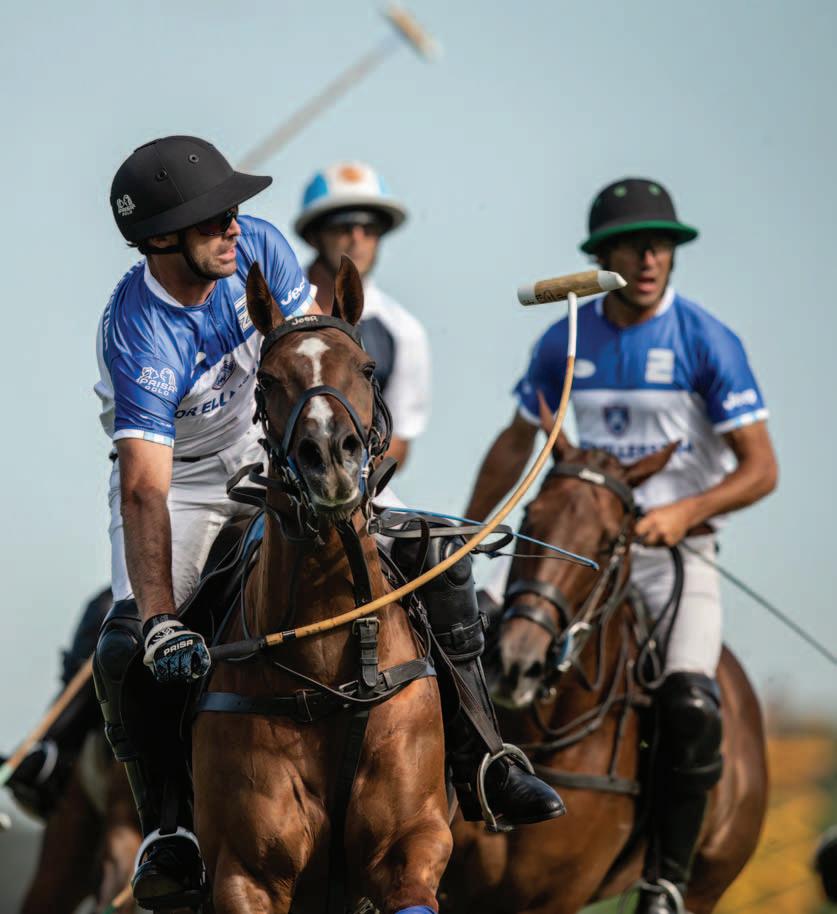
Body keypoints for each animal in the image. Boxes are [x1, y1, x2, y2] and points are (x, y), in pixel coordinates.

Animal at [191, 257, 451, 913]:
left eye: (366, 368)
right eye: (266, 381)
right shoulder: (245, 874)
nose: (330, 457)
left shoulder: (413, 845)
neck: (331, 671)